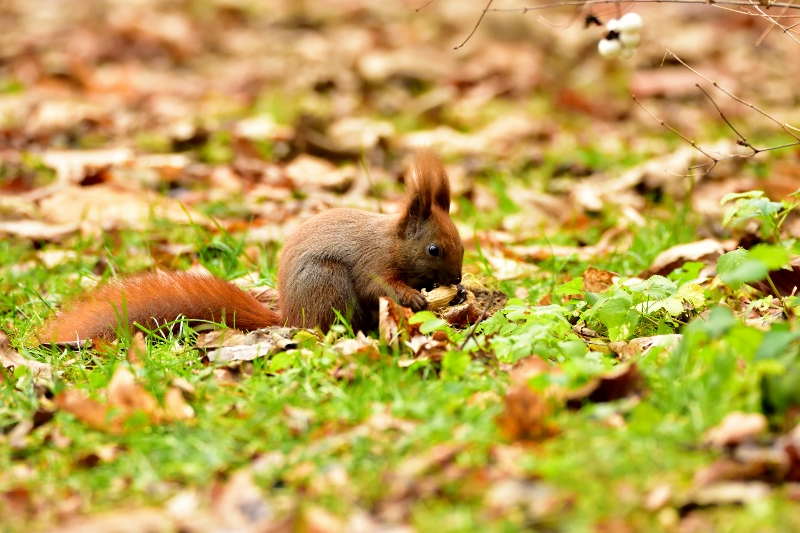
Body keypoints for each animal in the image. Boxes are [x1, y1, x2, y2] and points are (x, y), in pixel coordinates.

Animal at [40, 151, 466, 340]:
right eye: (433, 249)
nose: (459, 279)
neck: (393, 242)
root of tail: (290, 318)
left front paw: (454, 294)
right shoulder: (371, 262)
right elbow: (380, 285)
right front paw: (413, 297)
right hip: (326, 283)